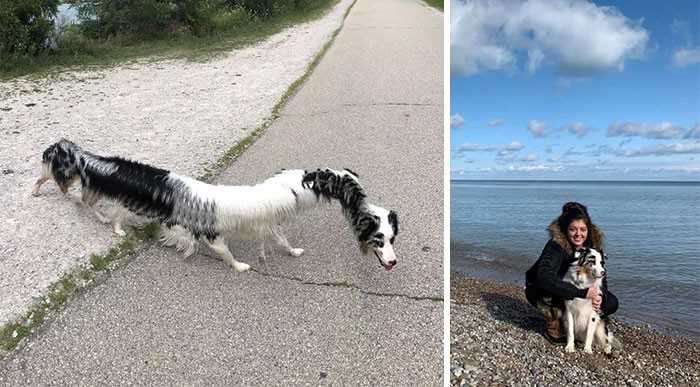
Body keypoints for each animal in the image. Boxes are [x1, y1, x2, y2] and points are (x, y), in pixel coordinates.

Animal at [30, 139, 400, 272]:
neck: (296, 187)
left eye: (391, 237)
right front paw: (245, 266)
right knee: (112, 213)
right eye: (379, 238)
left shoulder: (271, 224)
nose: (392, 261)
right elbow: (233, 252)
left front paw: (293, 252)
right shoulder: (227, 232)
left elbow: (282, 241)